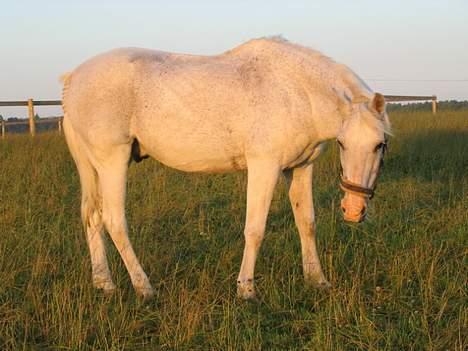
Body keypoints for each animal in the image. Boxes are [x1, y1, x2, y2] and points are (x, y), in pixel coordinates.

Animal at [62, 37, 392, 300]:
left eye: (380, 144)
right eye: (343, 143)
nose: (353, 210)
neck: (295, 90)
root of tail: (72, 79)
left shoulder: (300, 168)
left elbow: (306, 223)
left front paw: (317, 280)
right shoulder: (264, 166)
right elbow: (255, 229)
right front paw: (246, 289)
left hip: (92, 166)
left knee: (92, 217)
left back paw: (104, 284)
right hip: (113, 161)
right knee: (114, 221)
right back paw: (144, 288)